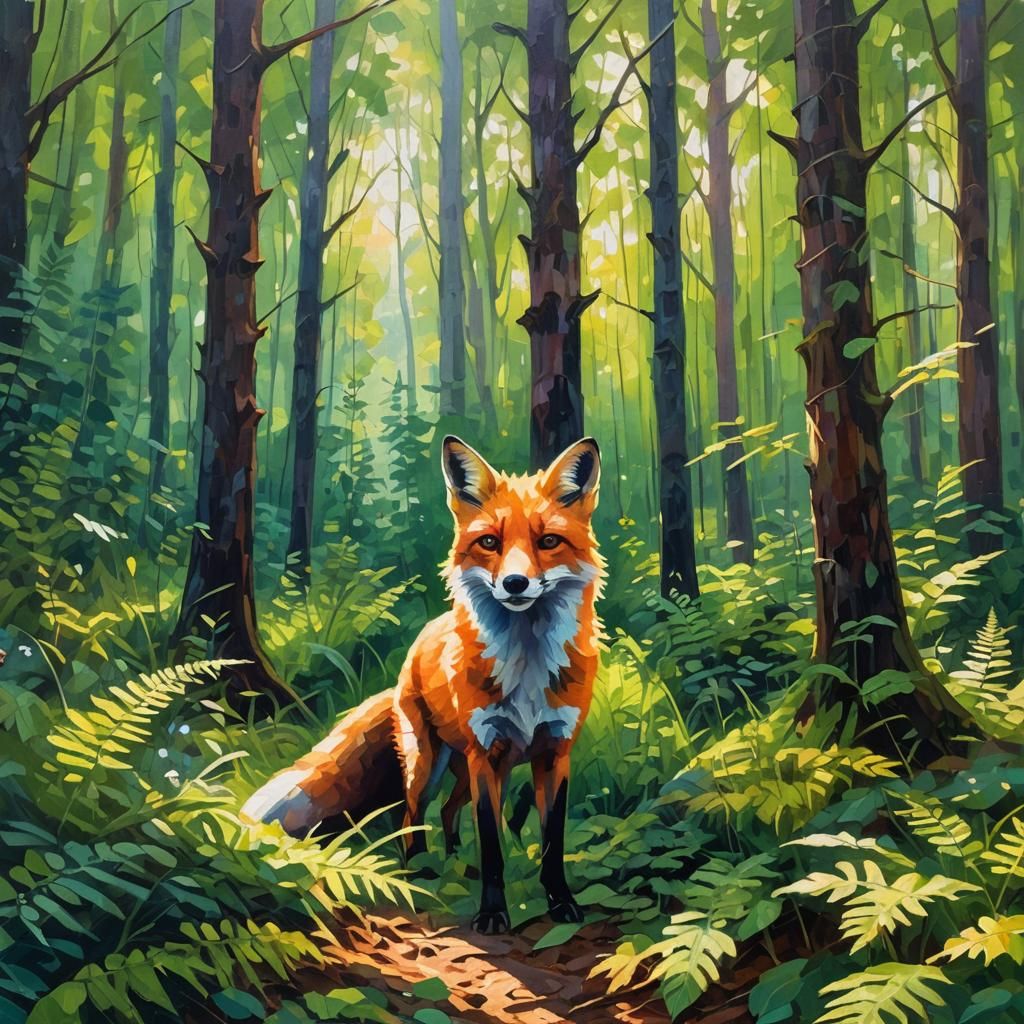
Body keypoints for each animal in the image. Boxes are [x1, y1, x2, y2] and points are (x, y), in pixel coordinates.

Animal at [241, 435, 604, 933]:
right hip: (429, 765)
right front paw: (492, 913)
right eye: (489, 542)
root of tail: (417, 645)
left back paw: (455, 862)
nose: (515, 583)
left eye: (548, 541)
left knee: (450, 812)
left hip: (479, 768)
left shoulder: (554, 752)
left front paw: (561, 903)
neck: (525, 662)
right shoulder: (484, 754)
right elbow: (492, 846)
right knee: (409, 817)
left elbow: (552, 842)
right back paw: (420, 872)